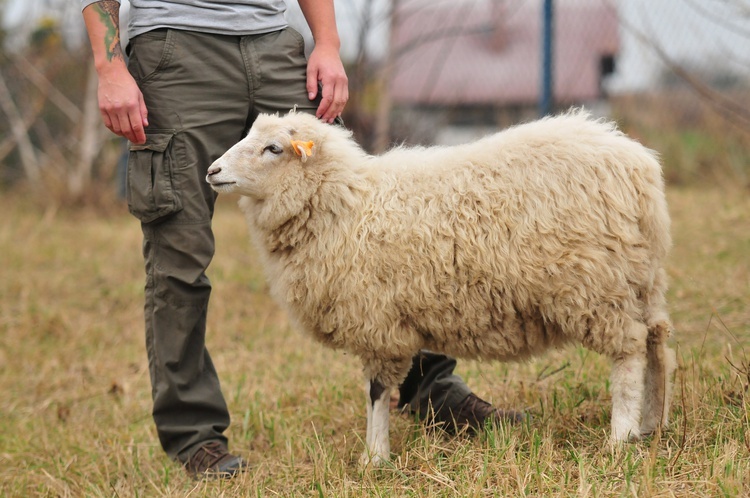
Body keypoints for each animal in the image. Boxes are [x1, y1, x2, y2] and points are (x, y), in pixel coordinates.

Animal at [207, 110, 680, 466]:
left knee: (629, 353)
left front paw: (374, 457)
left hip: (597, 285)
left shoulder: (378, 324)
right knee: (657, 342)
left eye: (273, 148)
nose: (213, 171)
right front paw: (375, 455)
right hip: (641, 279)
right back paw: (652, 424)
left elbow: (377, 392)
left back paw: (620, 436)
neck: (347, 205)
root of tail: (638, 167)